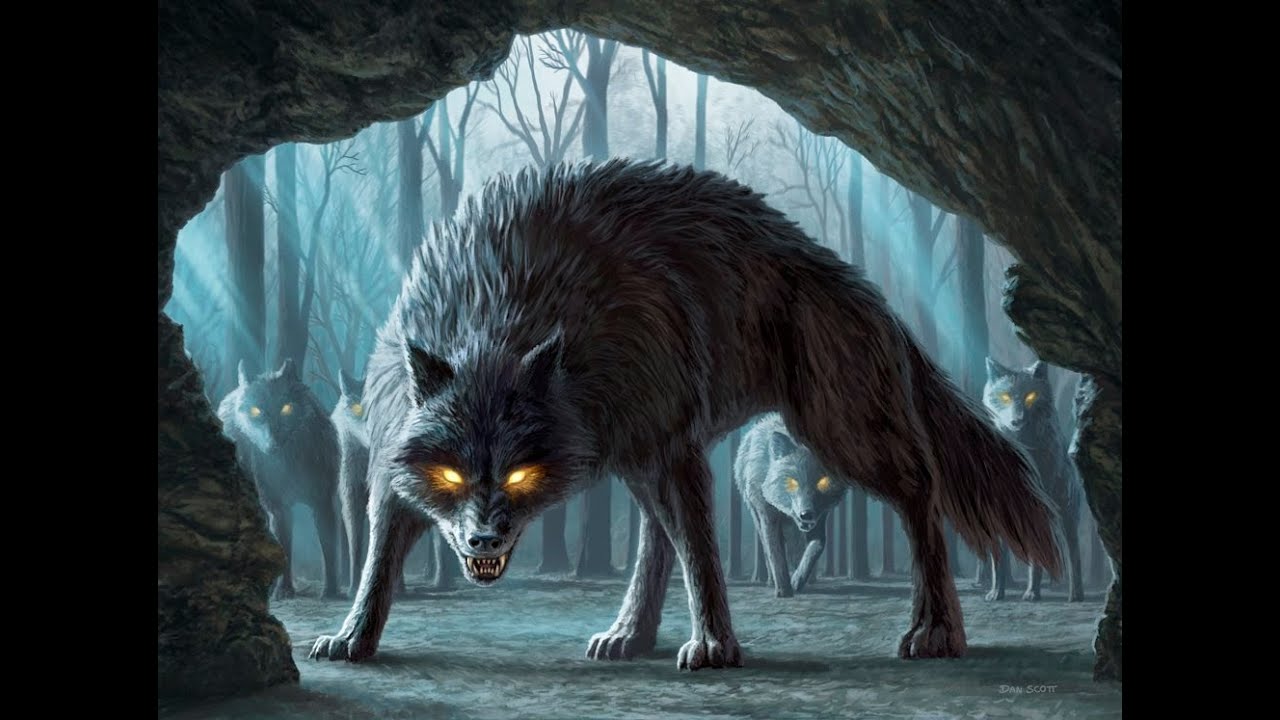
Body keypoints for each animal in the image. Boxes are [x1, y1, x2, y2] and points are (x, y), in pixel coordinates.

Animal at [218, 359, 343, 599]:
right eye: (256, 411)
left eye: (286, 408)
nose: (272, 444)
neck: (289, 465)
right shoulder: (278, 508)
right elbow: (283, 549)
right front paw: (283, 590)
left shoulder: (323, 503)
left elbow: (329, 549)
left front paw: (331, 590)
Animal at [735, 413, 844, 596]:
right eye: (792, 483)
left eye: (822, 482)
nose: (806, 514)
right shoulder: (768, 514)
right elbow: (775, 553)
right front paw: (783, 590)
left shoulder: (821, 517)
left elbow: (817, 547)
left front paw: (797, 581)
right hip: (756, 514)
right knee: (767, 548)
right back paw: (771, 581)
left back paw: (809, 580)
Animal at [980, 358, 1084, 602]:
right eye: (1005, 397)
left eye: (1030, 396)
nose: (1016, 420)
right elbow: (998, 560)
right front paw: (996, 593)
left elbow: (1037, 561)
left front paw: (1031, 593)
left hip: (1066, 516)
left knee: (1073, 554)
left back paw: (1075, 594)